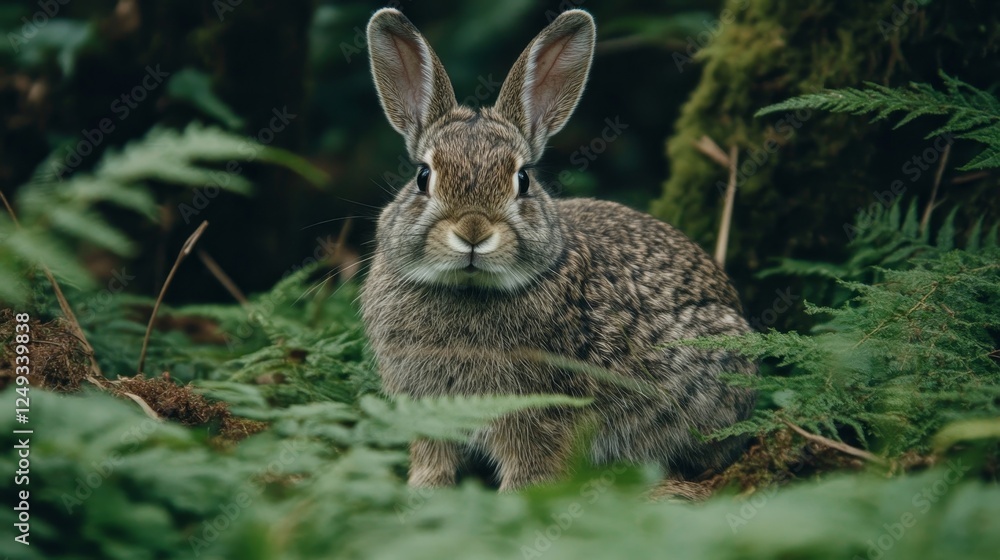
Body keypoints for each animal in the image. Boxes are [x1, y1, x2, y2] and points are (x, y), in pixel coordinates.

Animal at [360, 7, 757, 492]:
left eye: (523, 179)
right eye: (422, 176)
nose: (473, 231)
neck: (469, 289)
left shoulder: (536, 412)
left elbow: (530, 469)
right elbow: (432, 456)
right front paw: (423, 491)